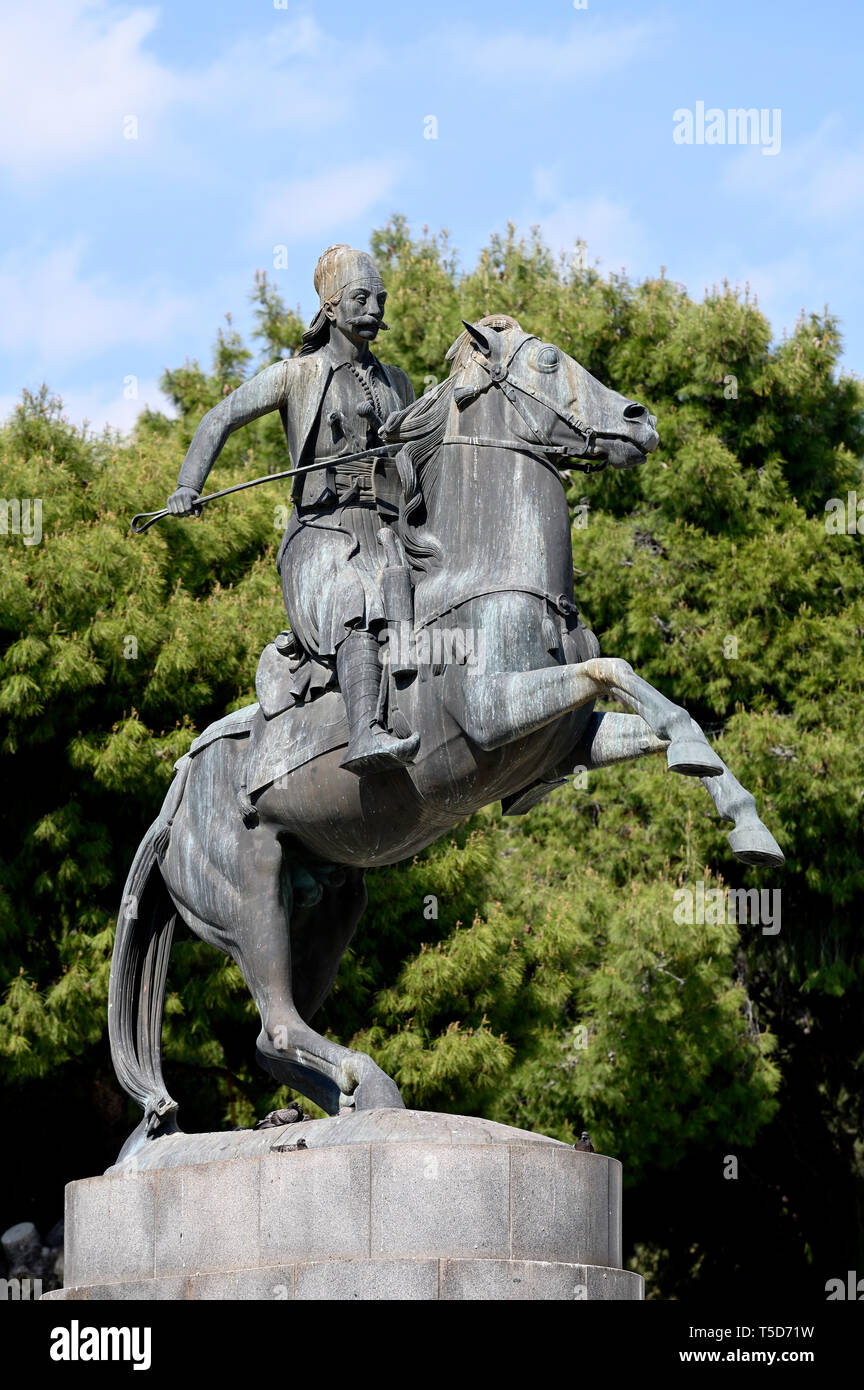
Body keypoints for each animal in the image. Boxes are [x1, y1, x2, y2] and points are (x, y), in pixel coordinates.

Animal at [108, 319, 783, 1156]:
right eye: (550, 361)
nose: (640, 420)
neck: (488, 578)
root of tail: (173, 802)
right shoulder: (500, 711)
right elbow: (617, 668)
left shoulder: (565, 741)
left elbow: (652, 712)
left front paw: (744, 818)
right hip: (252, 892)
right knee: (277, 1022)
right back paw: (367, 1086)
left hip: (327, 906)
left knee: (271, 1038)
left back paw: (342, 1108)